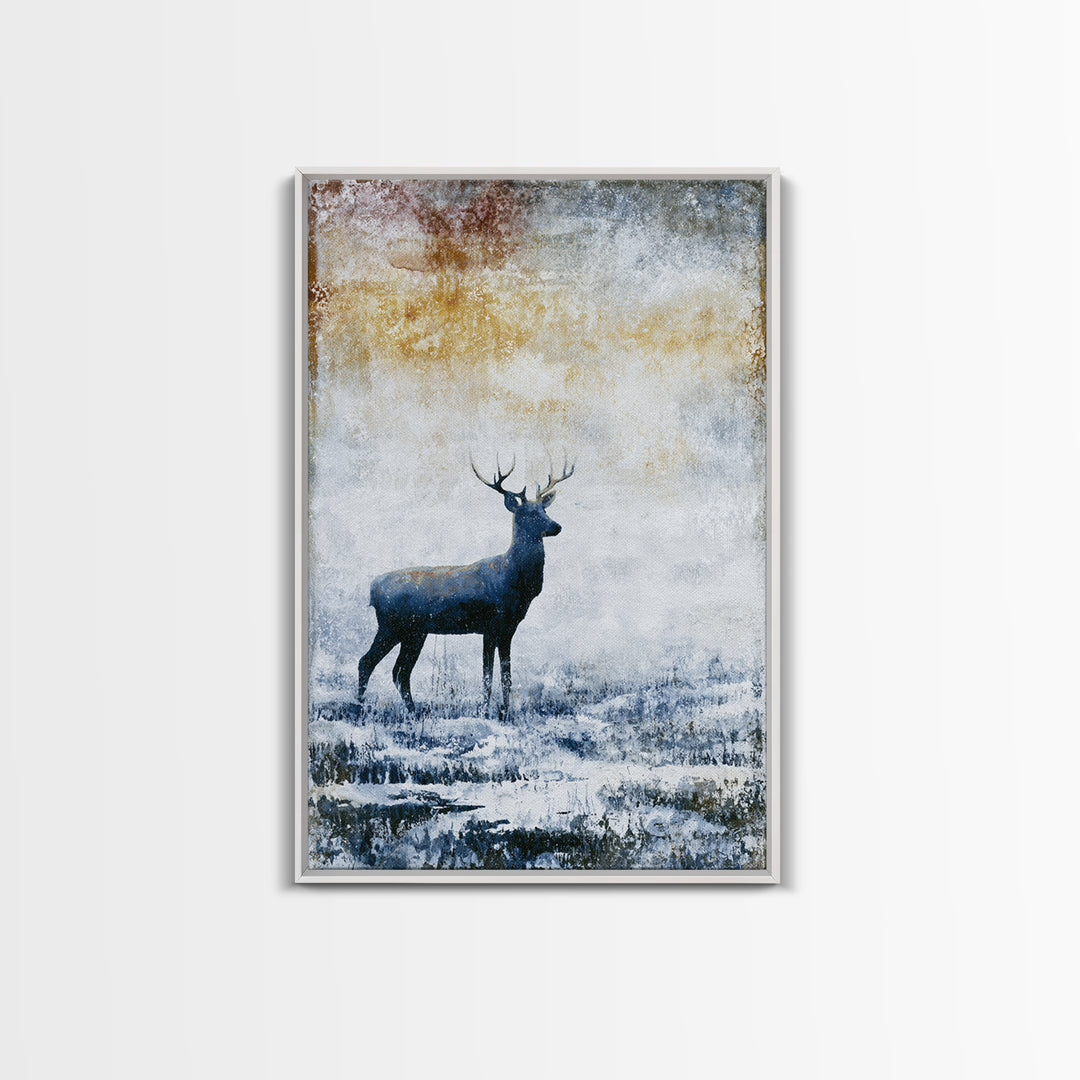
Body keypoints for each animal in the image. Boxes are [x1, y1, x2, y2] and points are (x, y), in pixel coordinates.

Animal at [357, 455, 574, 719]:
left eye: (544, 509)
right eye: (527, 514)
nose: (556, 526)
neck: (514, 581)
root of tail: (373, 587)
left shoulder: (508, 628)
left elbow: (506, 676)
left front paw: (505, 713)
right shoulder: (490, 625)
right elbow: (487, 676)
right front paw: (485, 711)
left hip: (414, 632)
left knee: (400, 671)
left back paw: (413, 712)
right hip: (391, 625)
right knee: (367, 662)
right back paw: (359, 709)